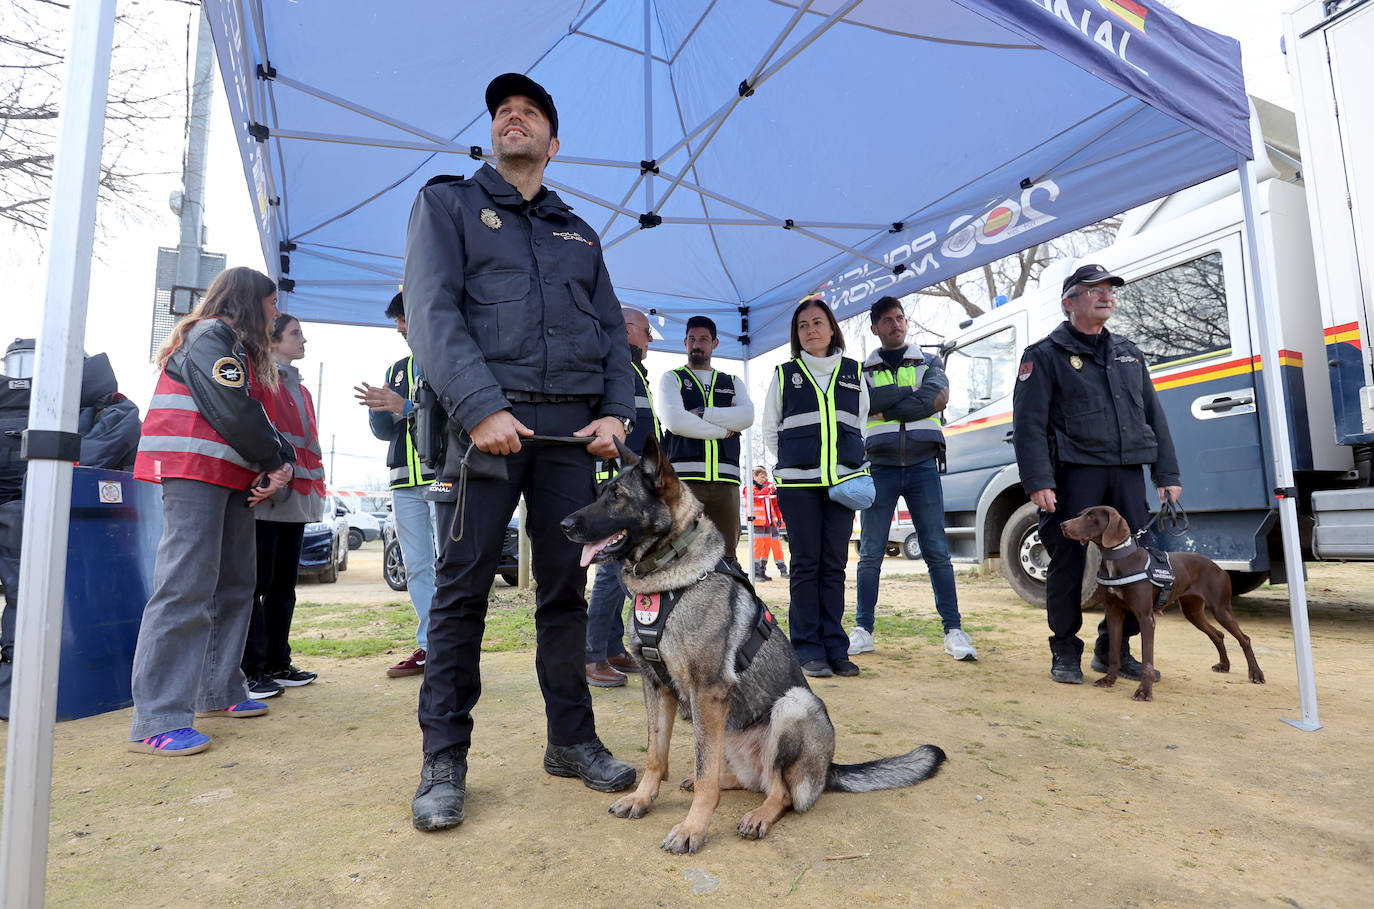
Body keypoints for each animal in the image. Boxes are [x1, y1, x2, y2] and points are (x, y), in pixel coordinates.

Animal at [560, 439, 945, 856]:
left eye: (618, 497)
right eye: (601, 491)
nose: (564, 526)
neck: (669, 577)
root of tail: (828, 769)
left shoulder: (708, 692)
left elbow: (704, 773)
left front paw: (693, 828)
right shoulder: (657, 686)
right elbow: (655, 755)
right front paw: (643, 799)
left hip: (792, 705)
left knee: (781, 792)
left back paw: (760, 814)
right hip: (724, 729)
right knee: (745, 779)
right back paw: (723, 783)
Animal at [1060, 508, 1264, 700]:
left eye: (1091, 517)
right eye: (1081, 514)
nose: (1063, 524)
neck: (1117, 559)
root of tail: (1219, 567)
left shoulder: (1145, 617)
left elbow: (1147, 661)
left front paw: (1144, 691)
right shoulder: (1114, 614)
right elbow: (1114, 654)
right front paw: (1109, 680)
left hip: (1221, 609)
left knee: (1244, 639)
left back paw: (1256, 674)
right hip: (1193, 612)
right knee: (1218, 635)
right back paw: (1224, 665)